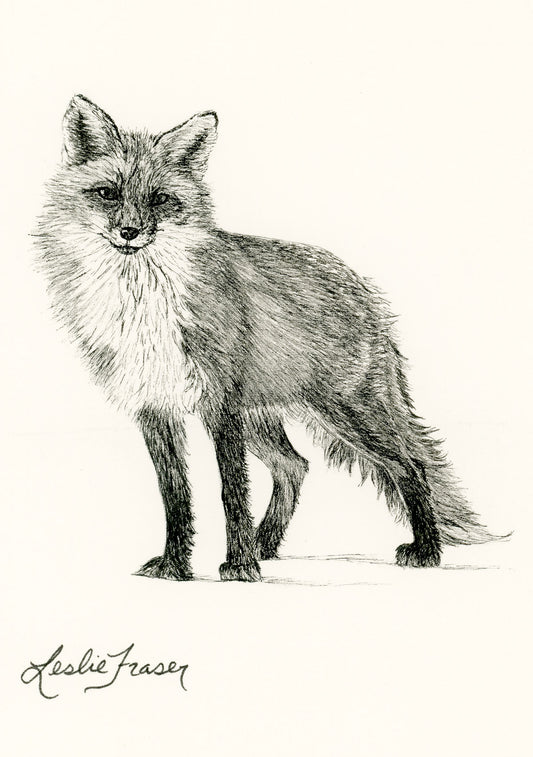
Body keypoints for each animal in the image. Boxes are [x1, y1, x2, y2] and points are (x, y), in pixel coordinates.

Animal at [34, 94, 503, 582]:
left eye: (161, 200)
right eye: (107, 193)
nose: (129, 232)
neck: (140, 302)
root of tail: (362, 288)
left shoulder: (218, 405)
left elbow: (231, 492)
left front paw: (238, 565)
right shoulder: (155, 407)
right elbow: (176, 496)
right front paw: (175, 565)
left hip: (347, 412)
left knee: (410, 465)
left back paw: (426, 550)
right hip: (263, 418)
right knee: (295, 465)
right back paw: (267, 543)